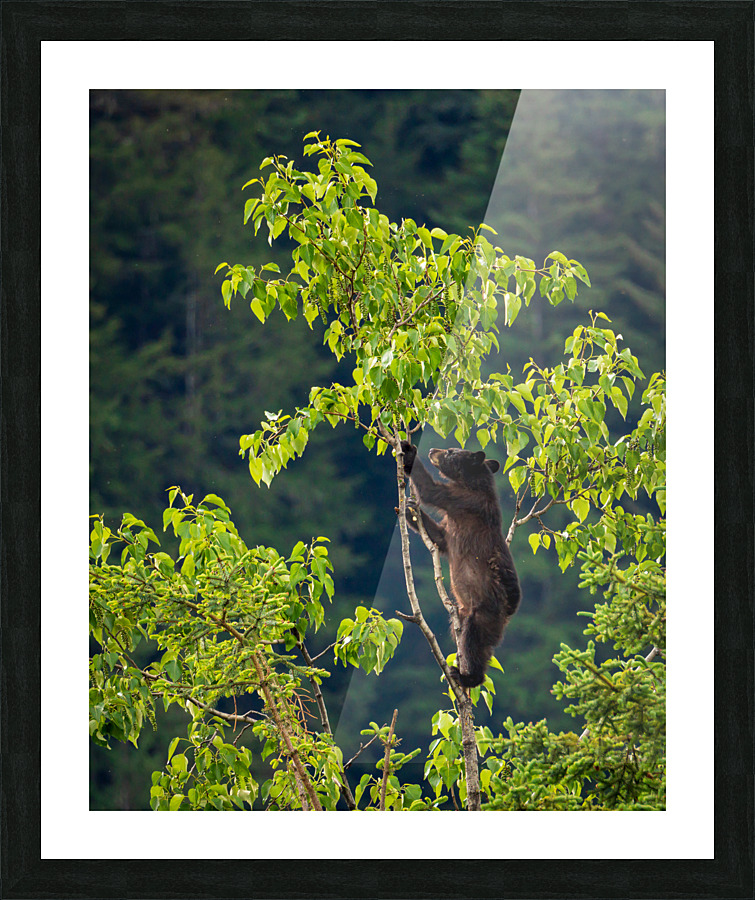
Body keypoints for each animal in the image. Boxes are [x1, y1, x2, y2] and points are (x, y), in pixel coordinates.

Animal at [399, 441, 521, 688]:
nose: (432, 450)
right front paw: (409, 508)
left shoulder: (462, 501)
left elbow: (432, 490)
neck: (472, 483)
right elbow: (439, 537)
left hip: (483, 612)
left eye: (451, 452)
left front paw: (409, 452)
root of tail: (508, 613)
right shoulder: (450, 528)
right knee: (481, 648)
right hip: (470, 616)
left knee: (472, 640)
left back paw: (466, 677)